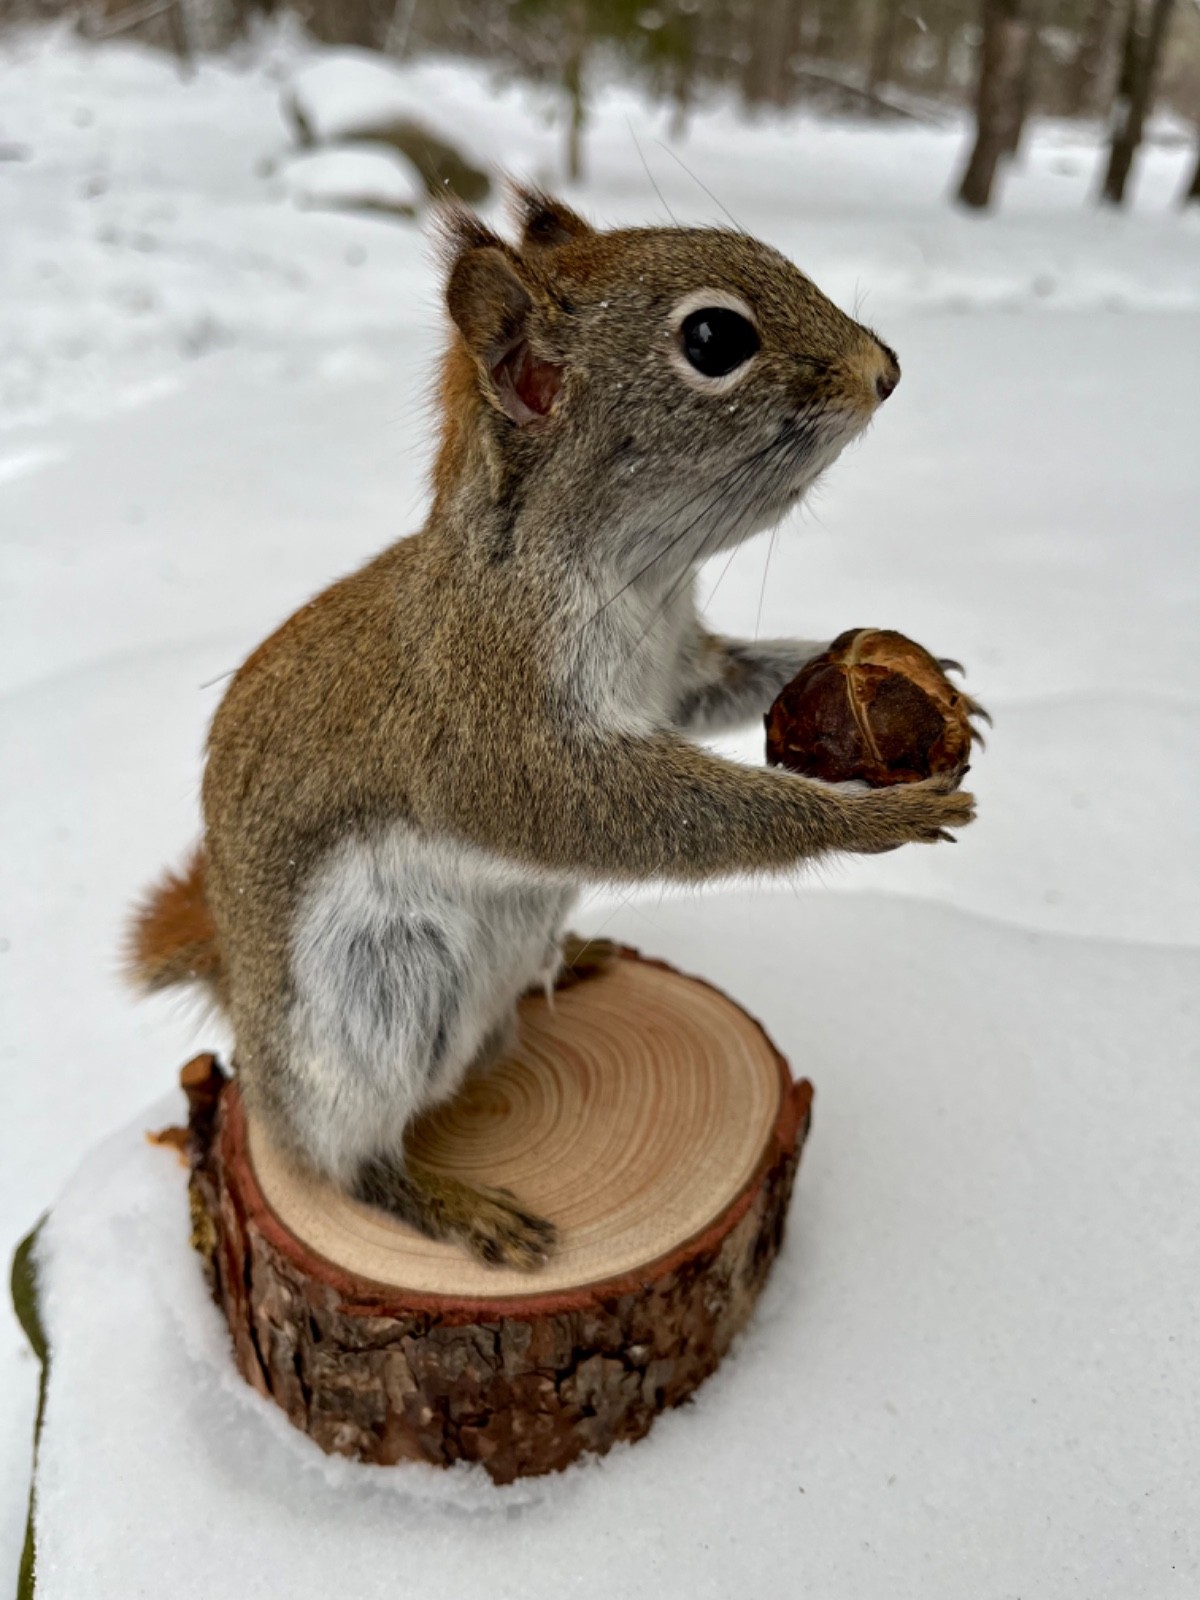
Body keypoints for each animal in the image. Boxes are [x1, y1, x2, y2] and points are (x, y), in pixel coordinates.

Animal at [127, 188, 974, 1269]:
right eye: (714, 339)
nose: (885, 369)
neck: (633, 575)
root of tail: (236, 988)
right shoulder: (490, 720)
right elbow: (602, 814)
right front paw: (862, 817)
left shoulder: (676, 673)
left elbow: (732, 687)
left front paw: (905, 665)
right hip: (370, 1012)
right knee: (338, 1159)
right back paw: (447, 1200)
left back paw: (567, 962)